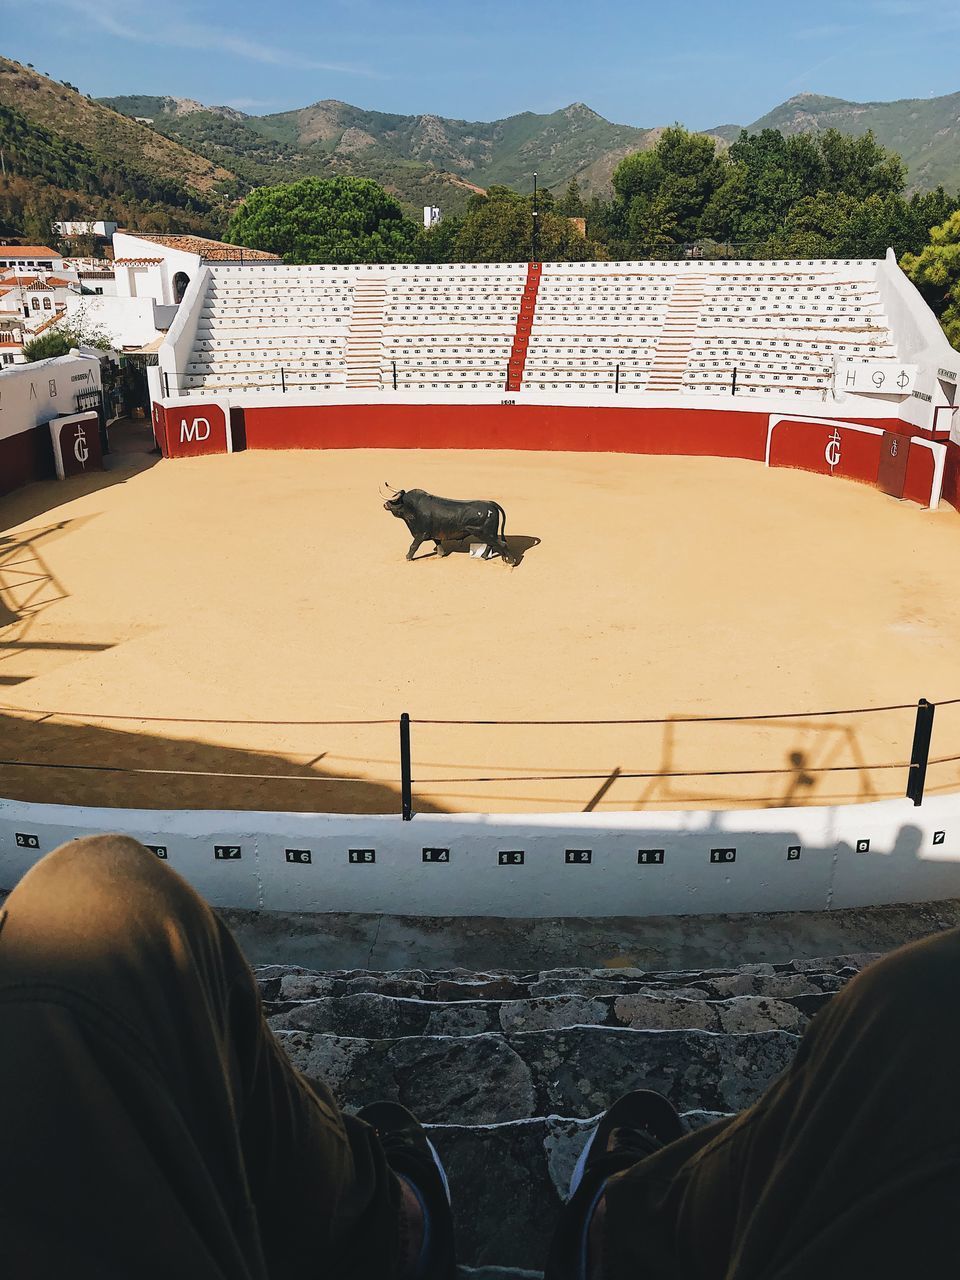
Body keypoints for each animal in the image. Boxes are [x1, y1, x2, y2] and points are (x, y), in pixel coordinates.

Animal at [384, 488, 519, 565]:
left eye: (395, 500)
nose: (385, 504)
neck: (413, 508)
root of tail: (490, 503)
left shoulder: (421, 534)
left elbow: (413, 546)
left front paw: (408, 558)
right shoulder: (434, 532)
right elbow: (438, 542)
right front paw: (441, 554)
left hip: (485, 533)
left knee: (501, 544)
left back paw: (511, 562)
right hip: (489, 533)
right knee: (492, 543)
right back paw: (483, 557)